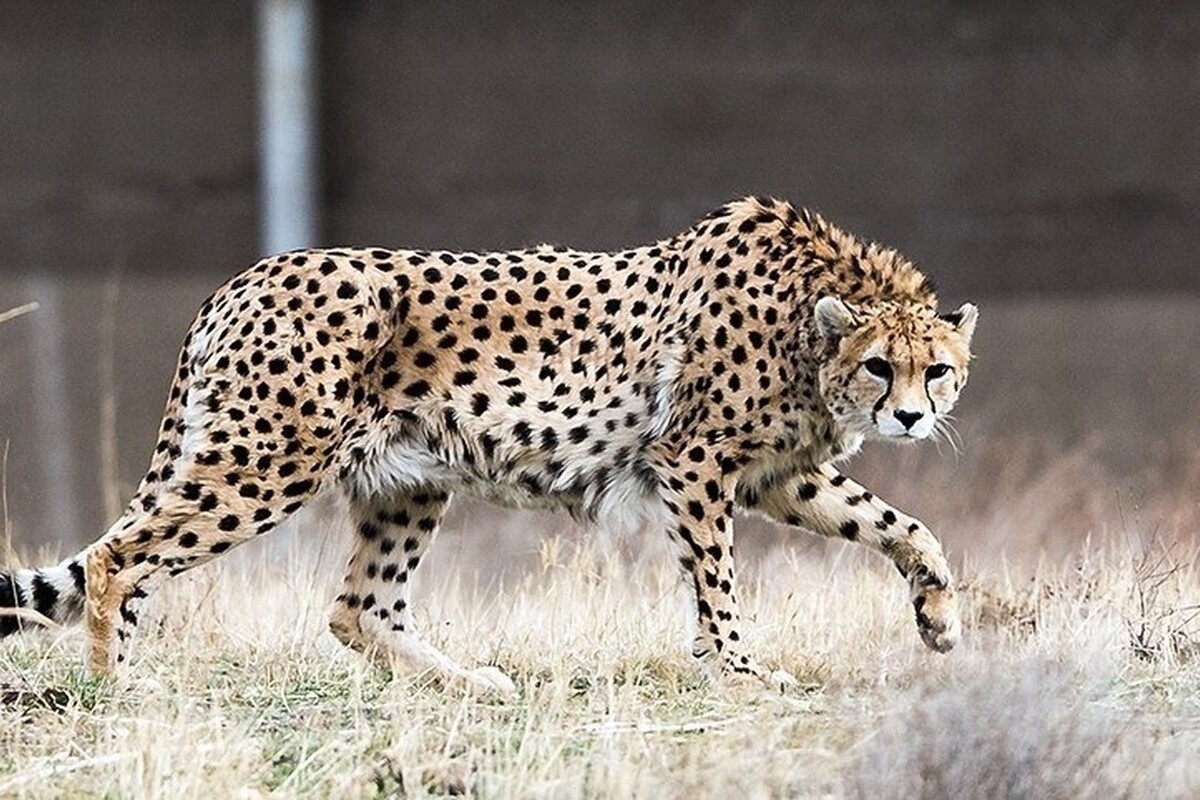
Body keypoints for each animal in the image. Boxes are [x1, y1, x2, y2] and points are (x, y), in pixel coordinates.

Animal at [0, 196, 974, 690]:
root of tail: (244, 276)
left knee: (358, 608)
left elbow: (905, 527)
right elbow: (720, 581)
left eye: (939, 370)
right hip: (266, 463)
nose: (910, 418)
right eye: (881, 367)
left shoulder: (779, 476)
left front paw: (938, 619)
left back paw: (473, 683)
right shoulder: (692, 462)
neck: (813, 323)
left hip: (407, 478)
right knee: (122, 559)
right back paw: (118, 694)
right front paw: (738, 669)